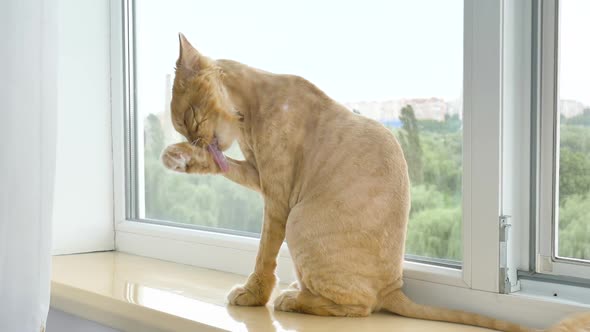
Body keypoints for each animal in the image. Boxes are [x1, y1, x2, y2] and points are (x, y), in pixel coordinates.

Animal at [161, 33, 588, 332]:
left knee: (360, 307)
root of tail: (394, 288)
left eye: (191, 117)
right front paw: (179, 157)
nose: (194, 139)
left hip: (299, 220)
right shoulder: (257, 174)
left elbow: (264, 254)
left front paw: (252, 295)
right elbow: (221, 166)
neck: (252, 109)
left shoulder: (278, 197)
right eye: (183, 128)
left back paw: (293, 299)